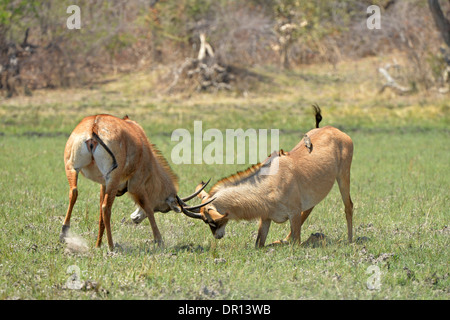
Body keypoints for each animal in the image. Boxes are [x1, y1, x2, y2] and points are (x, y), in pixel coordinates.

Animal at [60, 114, 213, 251]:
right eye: (162, 209)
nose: (135, 218)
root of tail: (95, 126)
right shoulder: (136, 185)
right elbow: (148, 208)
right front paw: (159, 241)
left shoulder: (103, 184)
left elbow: (100, 215)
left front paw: (97, 245)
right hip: (113, 178)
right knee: (105, 207)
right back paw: (111, 246)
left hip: (73, 168)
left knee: (74, 192)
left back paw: (64, 233)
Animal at [178, 106, 354, 249]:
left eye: (210, 220)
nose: (217, 236)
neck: (270, 182)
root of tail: (334, 130)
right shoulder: (266, 218)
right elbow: (259, 244)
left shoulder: (294, 214)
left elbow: (296, 243)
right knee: (311, 207)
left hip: (343, 175)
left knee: (348, 206)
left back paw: (350, 240)